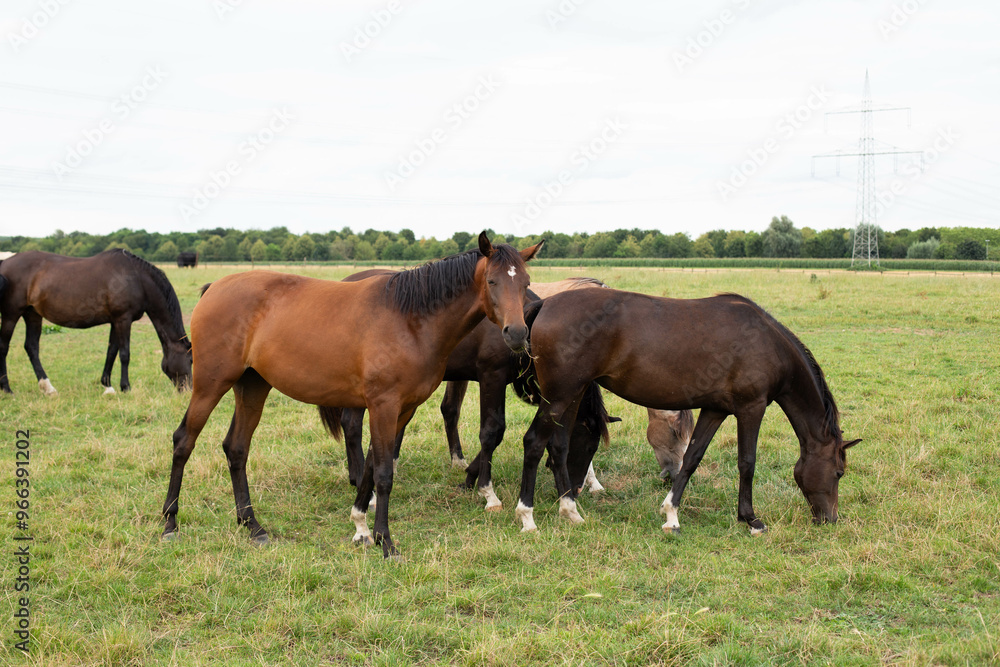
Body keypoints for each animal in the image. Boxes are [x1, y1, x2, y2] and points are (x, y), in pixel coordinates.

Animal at [0, 249, 192, 395]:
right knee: (4, 347)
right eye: (190, 360)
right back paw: (7, 389)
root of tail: (4, 262)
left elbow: (111, 351)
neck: (136, 278)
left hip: (32, 314)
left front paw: (108, 386)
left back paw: (48, 388)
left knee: (32, 347)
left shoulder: (116, 321)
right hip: (11, 315)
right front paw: (126, 387)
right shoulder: (123, 319)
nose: (188, 389)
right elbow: (125, 354)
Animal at [161, 233, 543, 558]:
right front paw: (386, 542)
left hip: (253, 386)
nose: (516, 333)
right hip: (211, 384)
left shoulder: (401, 409)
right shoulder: (384, 405)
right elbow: (384, 472)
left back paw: (252, 526)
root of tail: (214, 288)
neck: (410, 319)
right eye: (492, 282)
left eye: (525, 283)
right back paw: (170, 523)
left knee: (237, 448)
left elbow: (373, 465)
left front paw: (362, 527)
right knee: (183, 441)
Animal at [510, 288, 861, 535]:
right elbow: (747, 463)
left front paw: (671, 516)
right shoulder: (752, 408)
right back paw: (527, 517)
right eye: (839, 473)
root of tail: (545, 304)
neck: (766, 343)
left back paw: (571, 511)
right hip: (560, 396)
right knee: (534, 442)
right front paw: (751, 519)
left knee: (558, 446)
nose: (830, 519)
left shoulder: (715, 409)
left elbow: (692, 458)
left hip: (572, 395)